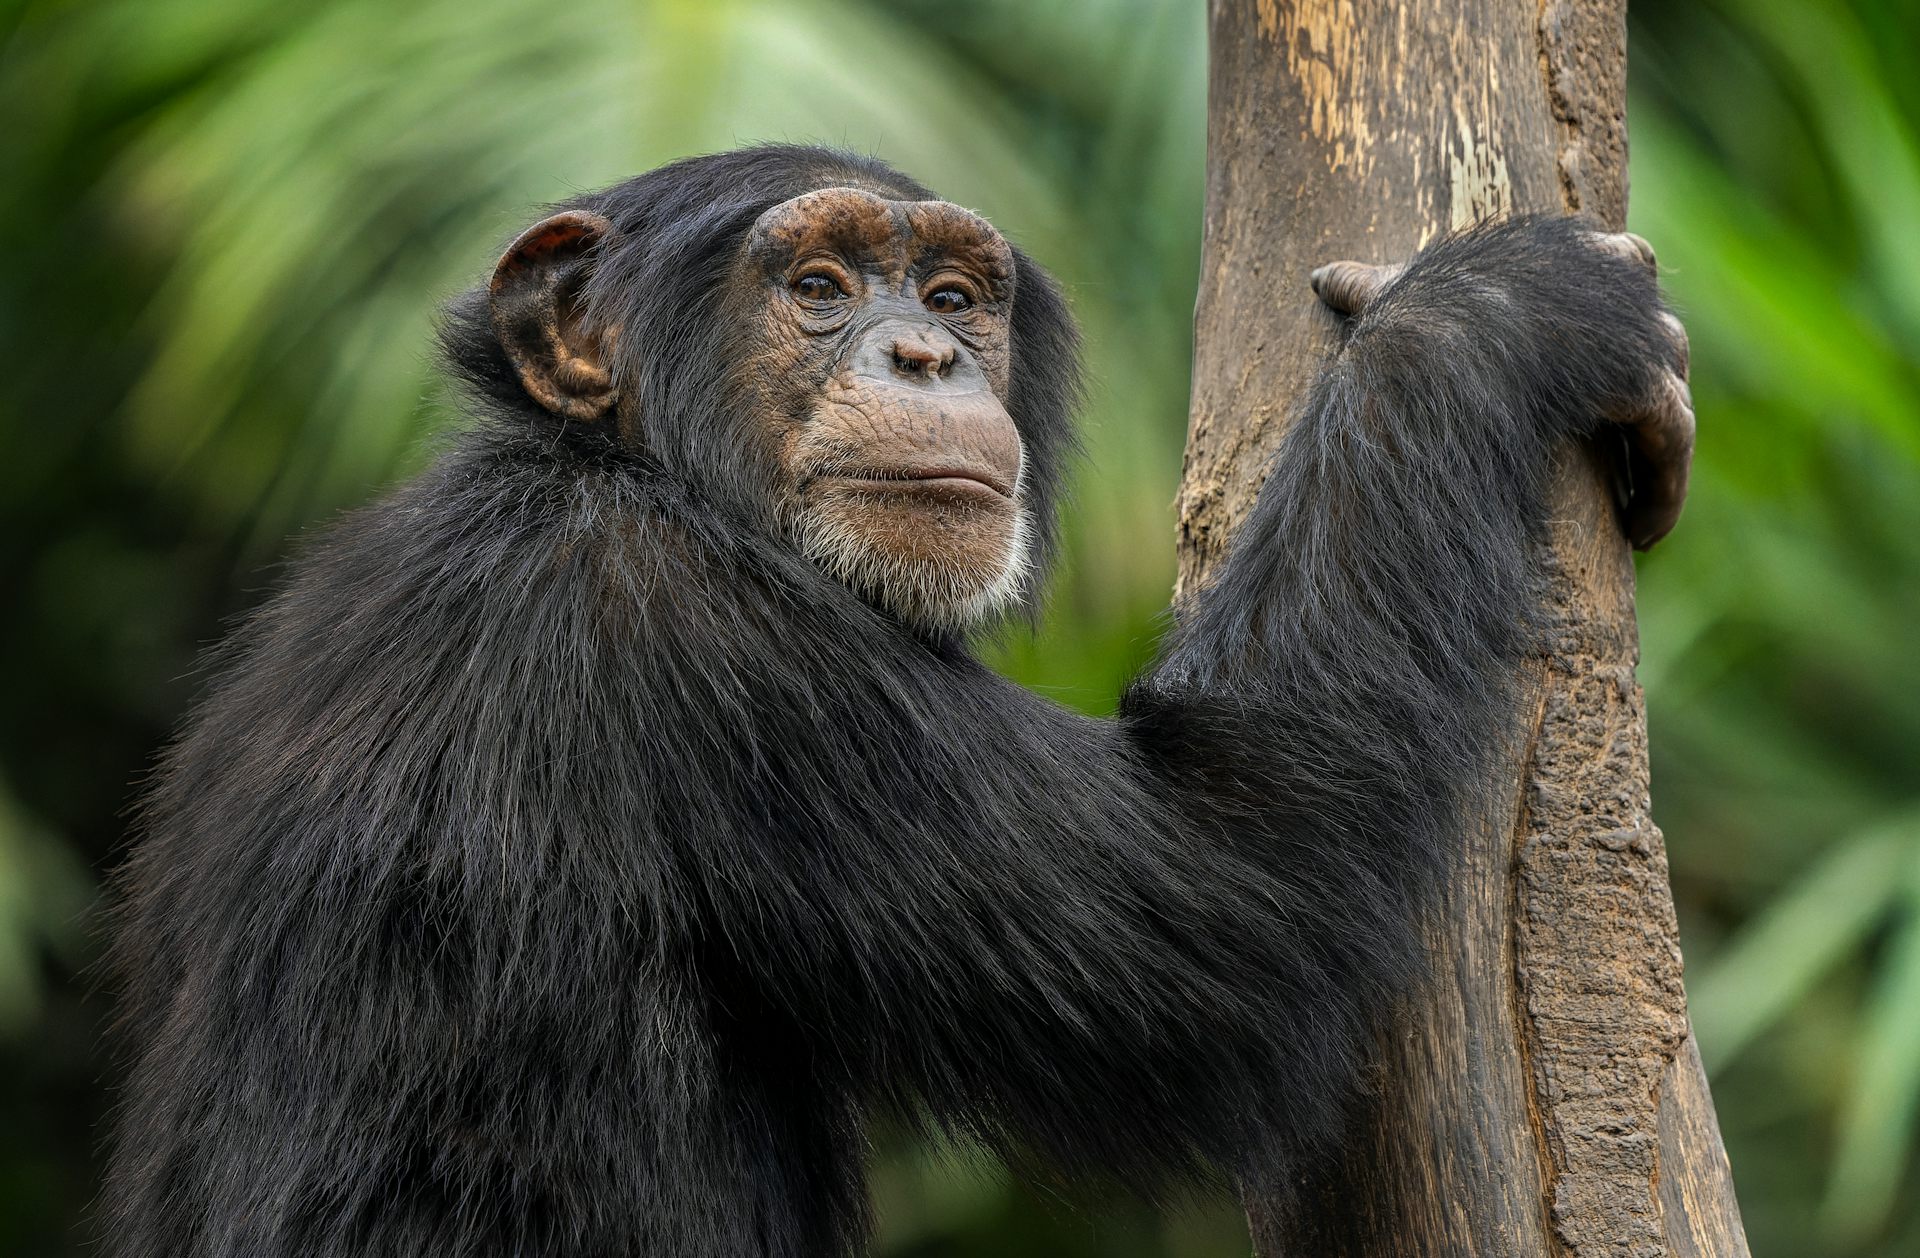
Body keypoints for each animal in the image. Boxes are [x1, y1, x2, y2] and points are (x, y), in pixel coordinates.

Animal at [103, 144, 1692, 1256]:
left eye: (951, 299)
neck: (618, 474)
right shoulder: (710, 647)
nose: (922, 353)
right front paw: (1499, 307)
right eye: (816, 289)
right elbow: (1234, 894)